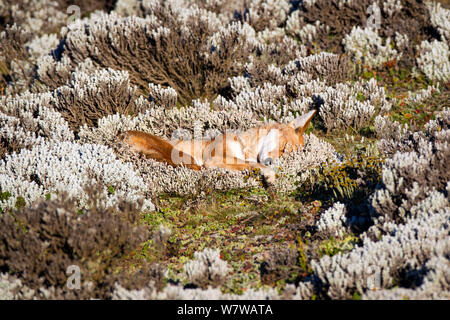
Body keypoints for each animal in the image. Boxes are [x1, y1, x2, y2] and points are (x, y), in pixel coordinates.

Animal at [120, 110, 316, 184]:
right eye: (283, 147)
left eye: (287, 156)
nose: (272, 162)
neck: (244, 145)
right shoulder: (215, 158)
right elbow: (255, 164)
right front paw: (269, 175)